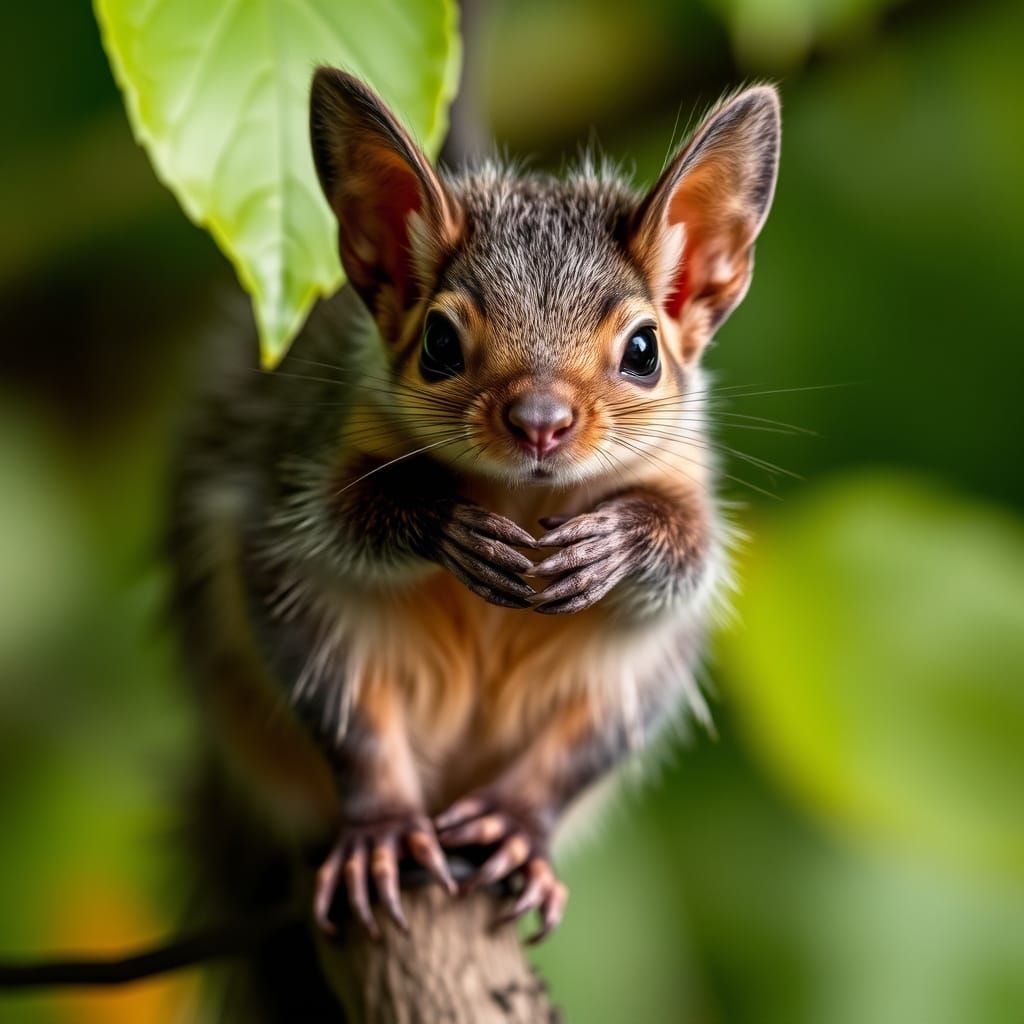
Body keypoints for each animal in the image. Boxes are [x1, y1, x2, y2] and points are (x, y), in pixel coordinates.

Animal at [169, 67, 780, 1014]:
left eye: (645, 350)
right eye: (439, 341)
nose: (540, 423)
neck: (525, 497)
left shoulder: (688, 486)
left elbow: (686, 554)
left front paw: (610, 542)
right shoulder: (295, 481)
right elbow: (343, 517)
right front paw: (448, 526)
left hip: (633, 676)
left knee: (576, 750)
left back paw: (518, 828)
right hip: (312, 634)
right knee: (353, 718)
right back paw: (384, 831)